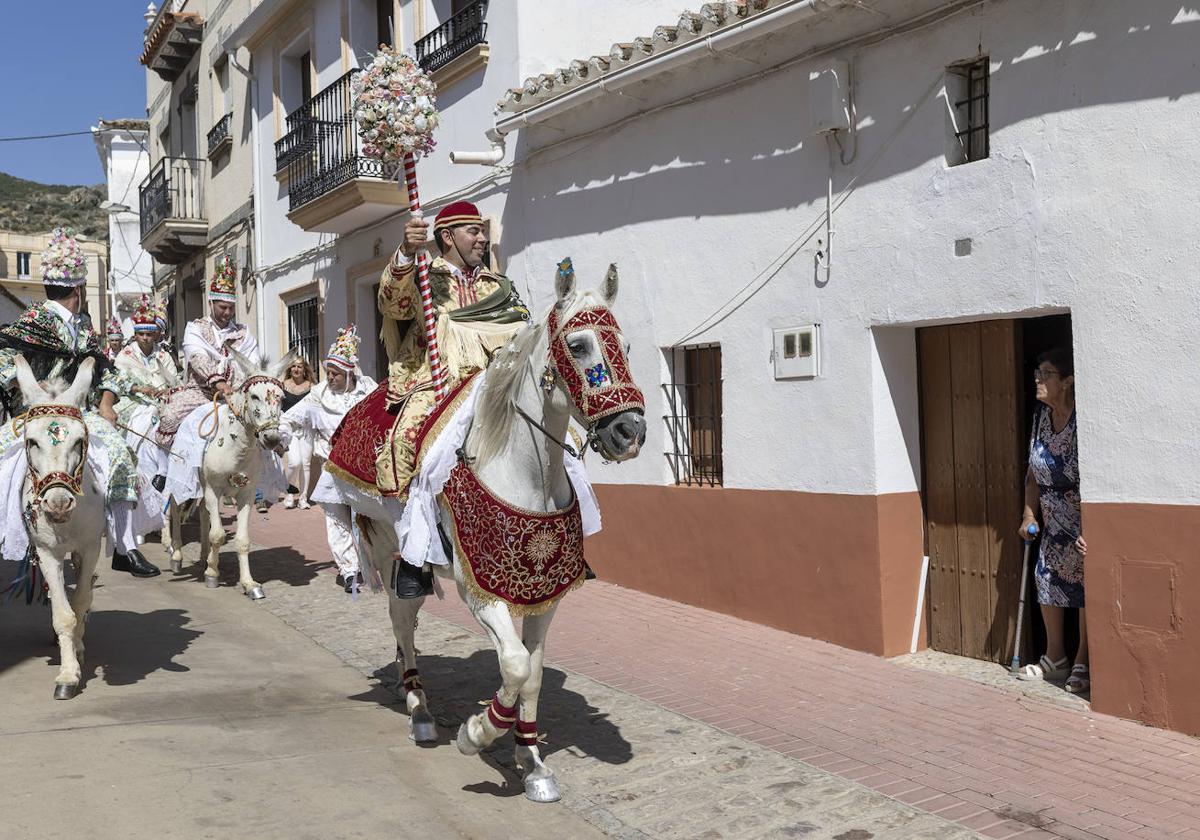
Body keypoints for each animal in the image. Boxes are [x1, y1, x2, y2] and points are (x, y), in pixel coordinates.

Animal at [11, 352, 104, 696]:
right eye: (31, 441)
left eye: (79, 441)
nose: (59, 503)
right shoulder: (47, 552)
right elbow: (63, 615)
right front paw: (68, 675)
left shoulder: (90, 548)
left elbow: (80, 602)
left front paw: (76, 652)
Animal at [162, 350, 292, 600]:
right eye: (254, 396)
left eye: (281, 398)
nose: (271, 439)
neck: (235, 447)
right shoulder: (214, 489)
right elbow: (219, 535)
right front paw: (212, 574)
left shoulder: (246, 494)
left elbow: (241, 540)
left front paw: (249, 584)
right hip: (179, 478)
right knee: (174, 507)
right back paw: (176, 555)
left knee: (203, 513)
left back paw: (203, 556)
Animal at [350, 260, 643, 801]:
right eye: (578, 345)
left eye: (627, 346)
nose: (630, 432)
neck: (526, 474)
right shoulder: (481, 591)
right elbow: (515, 664)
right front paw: (477, 732)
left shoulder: (544, 595)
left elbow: (534, 673)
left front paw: (531, 761)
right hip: (391, 549)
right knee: (401, 618)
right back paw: (420, 710)